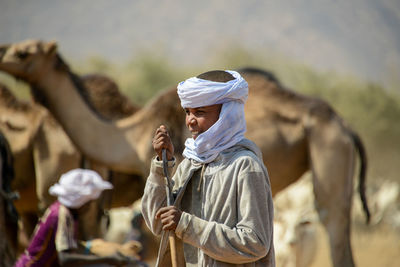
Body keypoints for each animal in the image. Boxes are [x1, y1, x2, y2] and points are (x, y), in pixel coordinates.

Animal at [0, 39, 368, 267]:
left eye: (25, 53)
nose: (3, 50)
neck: (128, 133)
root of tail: (347, 128)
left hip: (329, 152)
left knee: (333, 222)